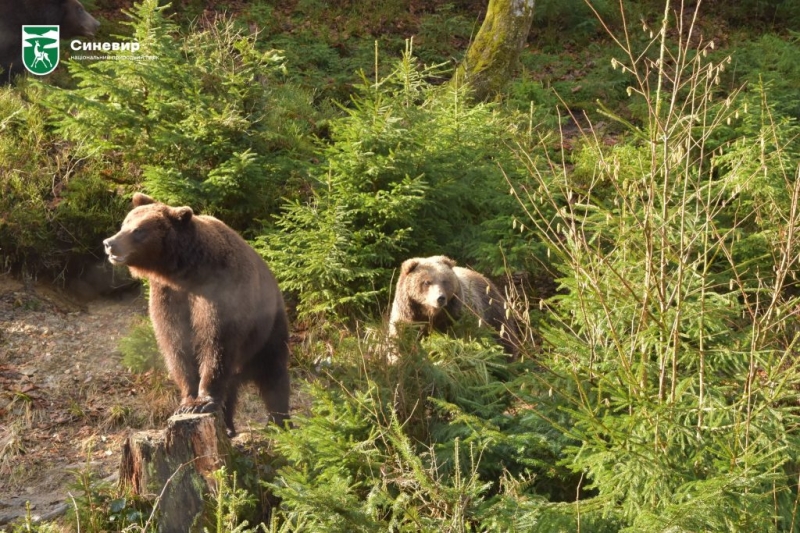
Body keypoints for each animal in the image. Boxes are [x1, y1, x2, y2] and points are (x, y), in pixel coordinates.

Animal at [104, 193, 290, 434]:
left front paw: (202, 402)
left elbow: (216, 343)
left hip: (268, 328)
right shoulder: (169, 296)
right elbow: (176, 344)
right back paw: (228, 427)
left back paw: (279, 423)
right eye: (124, 223)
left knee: (273, 374)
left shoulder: (219, 293)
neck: (185, 272)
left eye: (138, 230)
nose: (110, 243)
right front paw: (187, 401)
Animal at [390, 255, 524, 358]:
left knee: (505, 338)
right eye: (427, 282)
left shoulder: (457, 316)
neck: (431, 314)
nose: (440, 298)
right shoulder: (408, 318)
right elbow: (400, 341)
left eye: (444, 281)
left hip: (494, 312)